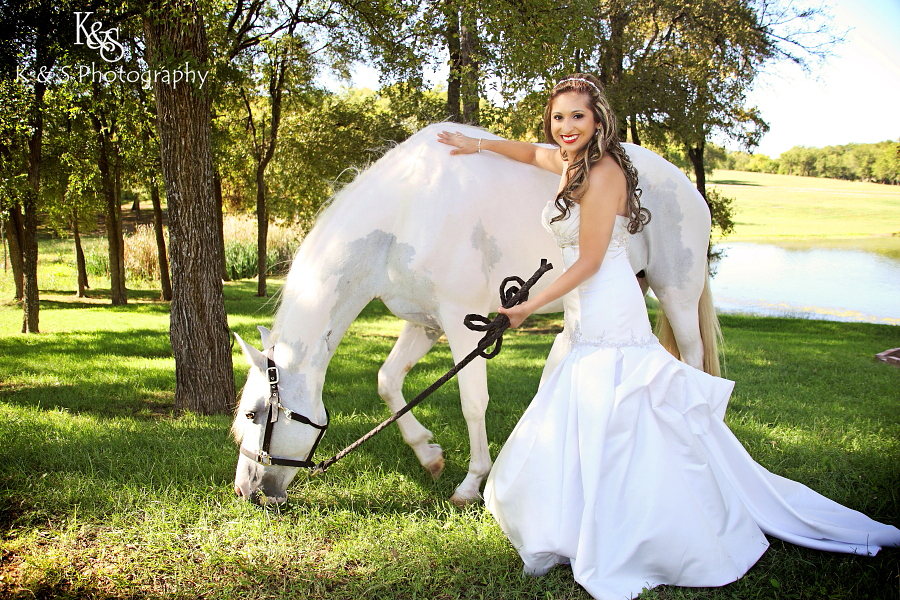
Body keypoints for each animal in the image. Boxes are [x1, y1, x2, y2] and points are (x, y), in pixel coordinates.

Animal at [230, 124, 716, 504]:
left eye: (254, 414)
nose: (245, 491)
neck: (406, 212)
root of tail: (687, 185)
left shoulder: (464, 322)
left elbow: (472, 402)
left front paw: (471, 483)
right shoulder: (424, 323)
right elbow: (387, 381)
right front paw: (428, 454)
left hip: (676, 293)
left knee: (692, 361)